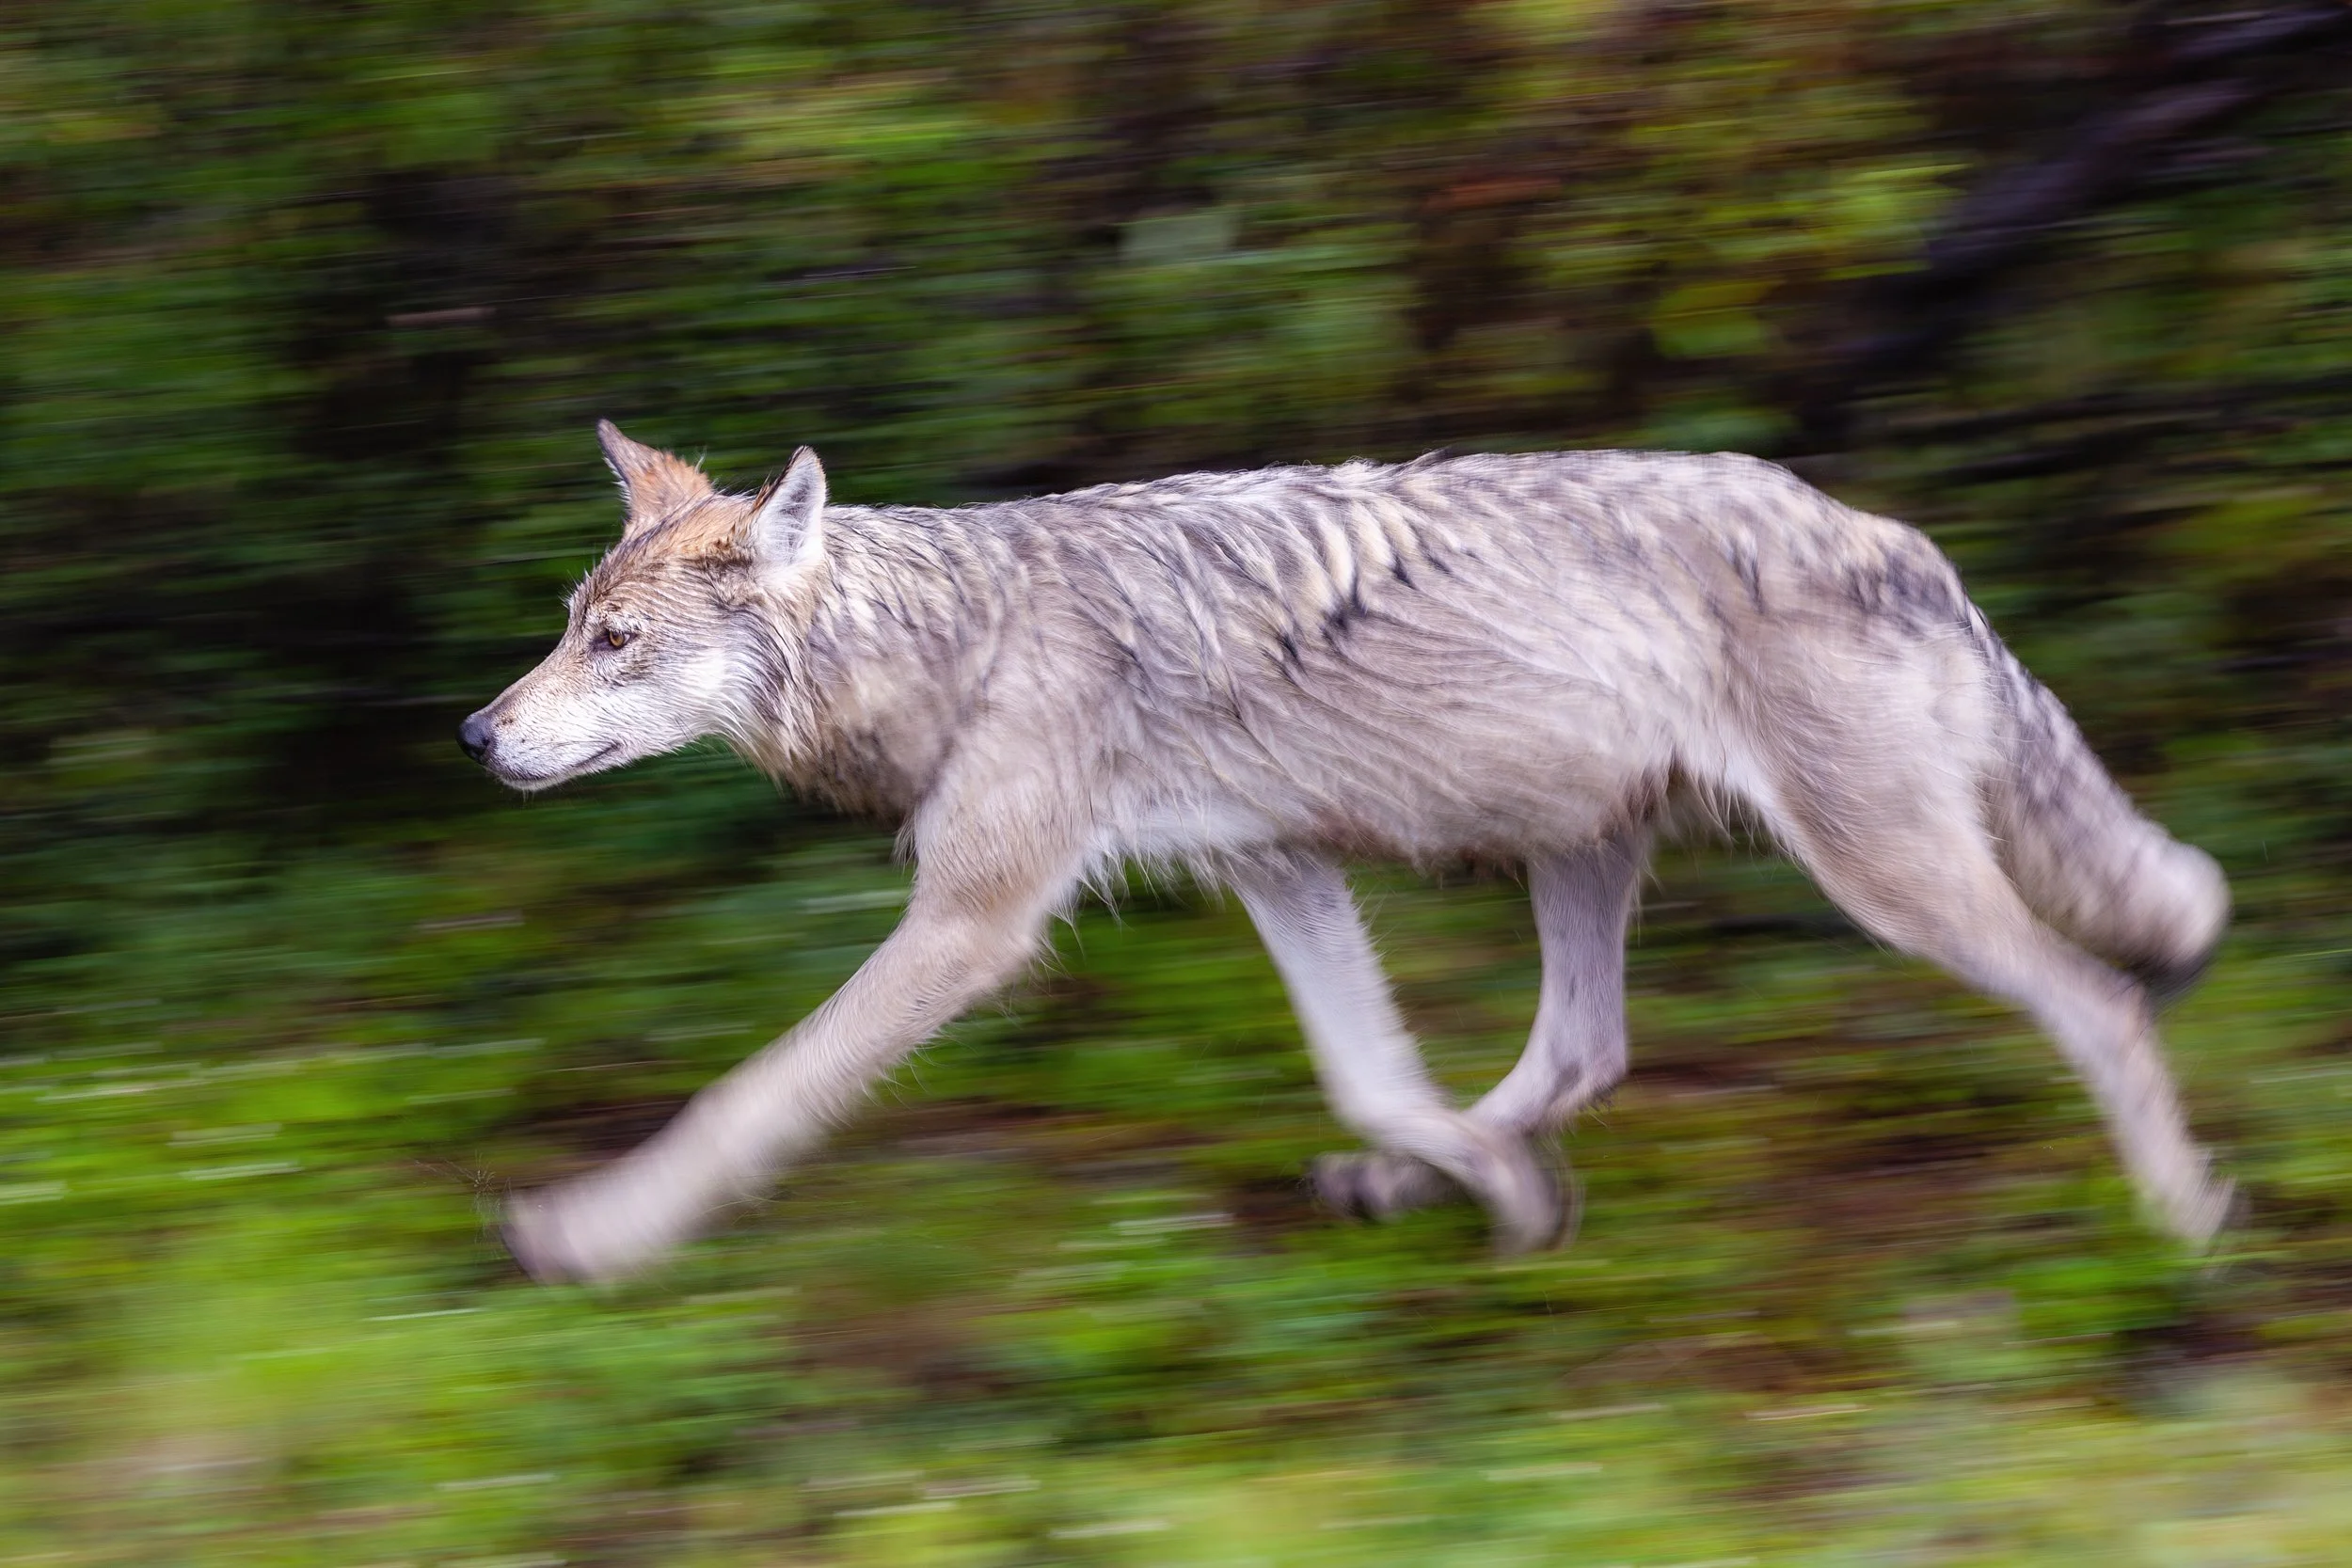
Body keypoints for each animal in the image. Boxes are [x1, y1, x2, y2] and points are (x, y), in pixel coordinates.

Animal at [462, 422, 2232, 1283]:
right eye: (566, 626)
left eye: (614, 641)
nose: (477, 734)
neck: (958, 638)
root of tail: (1911, 543)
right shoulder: (1276, 867)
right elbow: (1371, 1071)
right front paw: (1479, 1191)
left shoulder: (974, 920)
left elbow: (746, 1095)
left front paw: (590, 1234)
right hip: (1577, 853)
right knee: (1582, 1050)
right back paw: (1452, 1181)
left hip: (1885, 883)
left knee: (2102, 999)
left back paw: (2189, 1232)